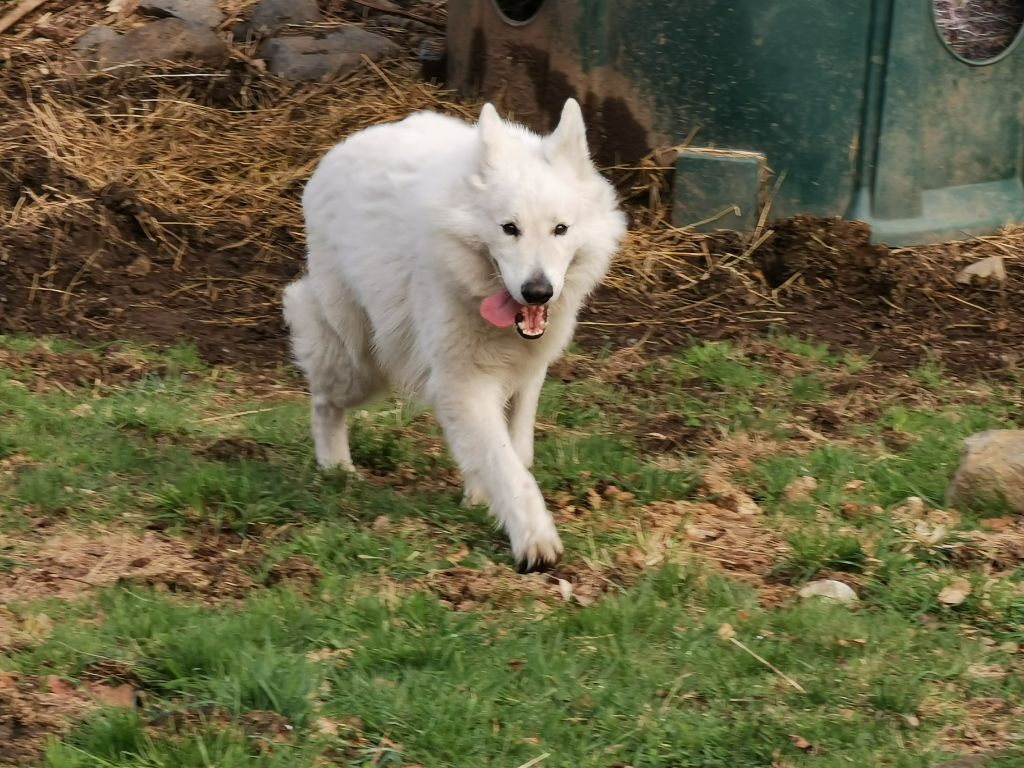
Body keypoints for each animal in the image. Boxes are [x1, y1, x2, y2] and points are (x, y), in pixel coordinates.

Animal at [284, 99, 626, 573]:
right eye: (509, 228)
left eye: (560, 229)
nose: (537, 291)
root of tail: (343, 146)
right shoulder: (462, 385)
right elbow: (506, 466)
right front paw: (534, 540)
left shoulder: (526, 376)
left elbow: (517, 452)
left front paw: (482, 497)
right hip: (361, 364)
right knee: (321, 398)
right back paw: (337, 469)